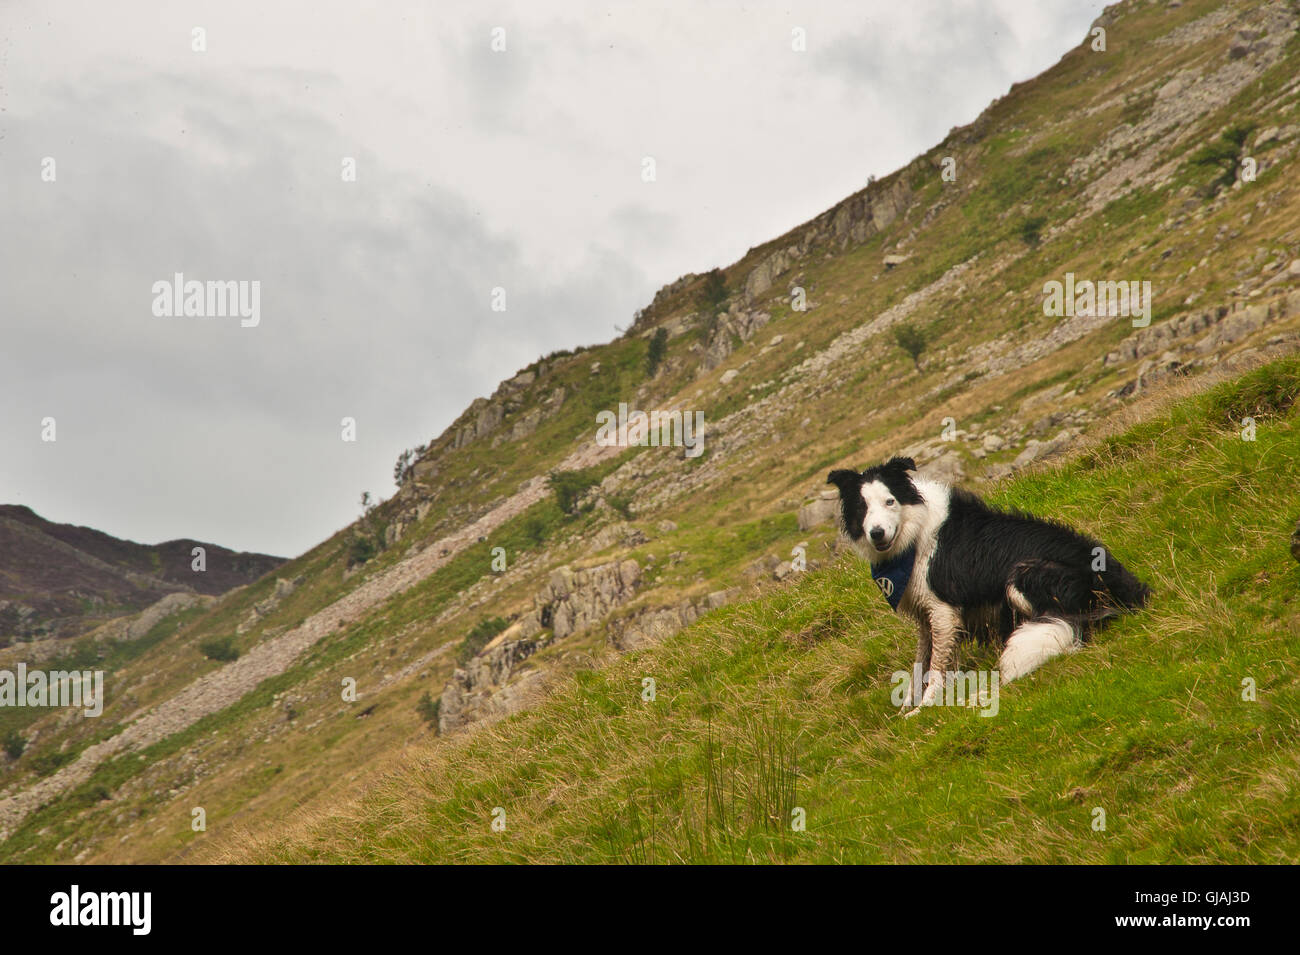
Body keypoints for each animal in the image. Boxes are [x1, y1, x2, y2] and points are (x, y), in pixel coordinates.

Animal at [832, 454, 1149, 712]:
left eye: (890, 501)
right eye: (862, 508)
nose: (876, 533)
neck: (914, 535)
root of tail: (1130, 589)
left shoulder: (943, 610)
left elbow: (936, 667)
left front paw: (924, 708)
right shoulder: (924, 613)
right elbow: (920, 662)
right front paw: (907, 705)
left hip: (1024, 574)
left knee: (1066, 629)